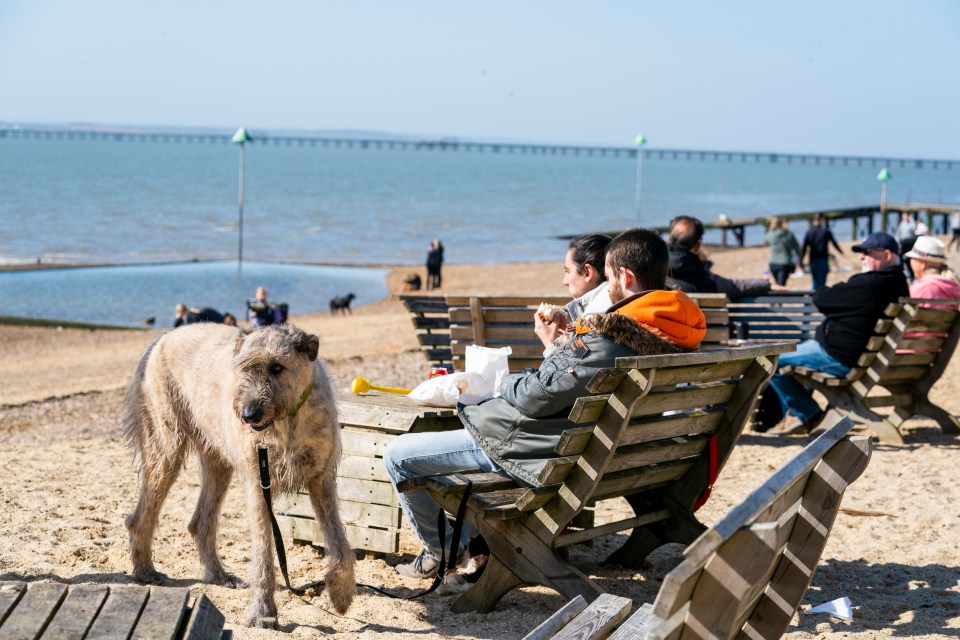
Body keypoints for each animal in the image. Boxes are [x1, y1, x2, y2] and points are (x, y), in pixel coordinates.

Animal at [123, 322, 356, 628]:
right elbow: (264, 553)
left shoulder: (322, 479)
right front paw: (262, 611)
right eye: (242, 367)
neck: (287, 419)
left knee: (201, 522)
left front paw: (341, 591)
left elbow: (339, 540)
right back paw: (146, 571)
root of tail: (163, 337)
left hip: (217, 459)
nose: (248, 415)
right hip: (165, 446)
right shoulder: (259, 485)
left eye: (277, 367)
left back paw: (218, 575)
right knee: (141, 516)